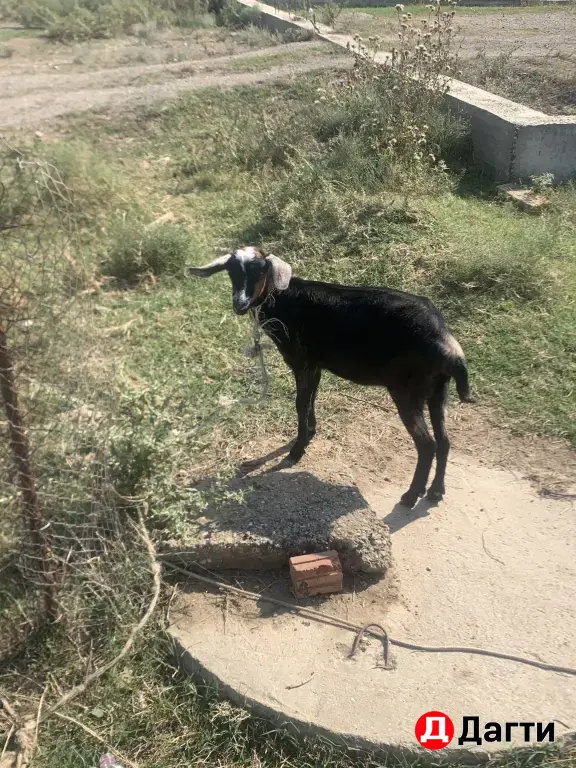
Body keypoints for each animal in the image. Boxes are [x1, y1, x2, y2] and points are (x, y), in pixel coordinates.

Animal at [189, 247, 475, 508]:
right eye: (231, 272)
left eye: (260, 271)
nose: (240, 304)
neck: (283, 299)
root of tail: (448, 345)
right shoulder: (315, 365)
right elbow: (310, 401)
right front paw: (310, 434)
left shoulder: (302, 362)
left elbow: (301, 403)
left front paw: (296, 451)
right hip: (438, 390)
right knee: (444, 441)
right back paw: (436, 491)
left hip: (407, 389)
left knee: (427, 445)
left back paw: (411, 495)